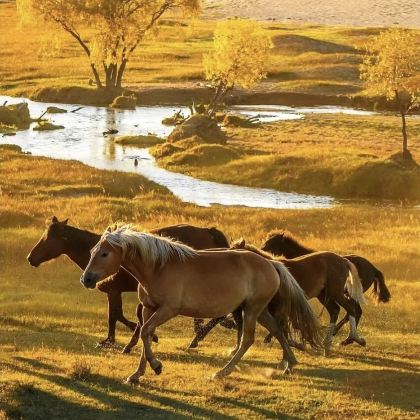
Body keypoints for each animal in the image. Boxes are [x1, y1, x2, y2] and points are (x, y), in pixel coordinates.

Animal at [26, 215, 233, 346]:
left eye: (48, 238)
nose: (30, 258)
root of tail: (208, 231)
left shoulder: (113, 291)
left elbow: (116, 316)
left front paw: (111, 341)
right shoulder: (116, 293)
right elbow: (119, 315)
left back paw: (200, 336)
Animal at [80, 226, 320, 380]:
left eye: (104, 254)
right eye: (92, 252)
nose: (87, 279)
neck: (159, 268)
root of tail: (271, 263)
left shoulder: (168, 309)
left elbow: (146, 332)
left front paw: (156, 366)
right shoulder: (149, 309)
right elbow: (144, 334)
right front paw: (137, 374)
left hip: (252, 310)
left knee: (248, 339)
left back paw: (221, 372)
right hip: (258, 311)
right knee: (278, 330)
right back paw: (290, 365)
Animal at [230, 240, 368, 354]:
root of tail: (343, 261)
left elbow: (284, 322)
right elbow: (285, 322)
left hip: (335, 292)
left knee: (350, 309)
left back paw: (354, 339)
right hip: (324, 295)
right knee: (335, 310)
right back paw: (327, 344)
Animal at [260, 230, 388, 344]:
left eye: (271, 242)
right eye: (267, 241)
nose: (262, 249)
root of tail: (373, 268)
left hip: (346, 294)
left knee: (353, 311)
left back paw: (345, 337)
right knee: (352, 311)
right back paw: (345, 338)